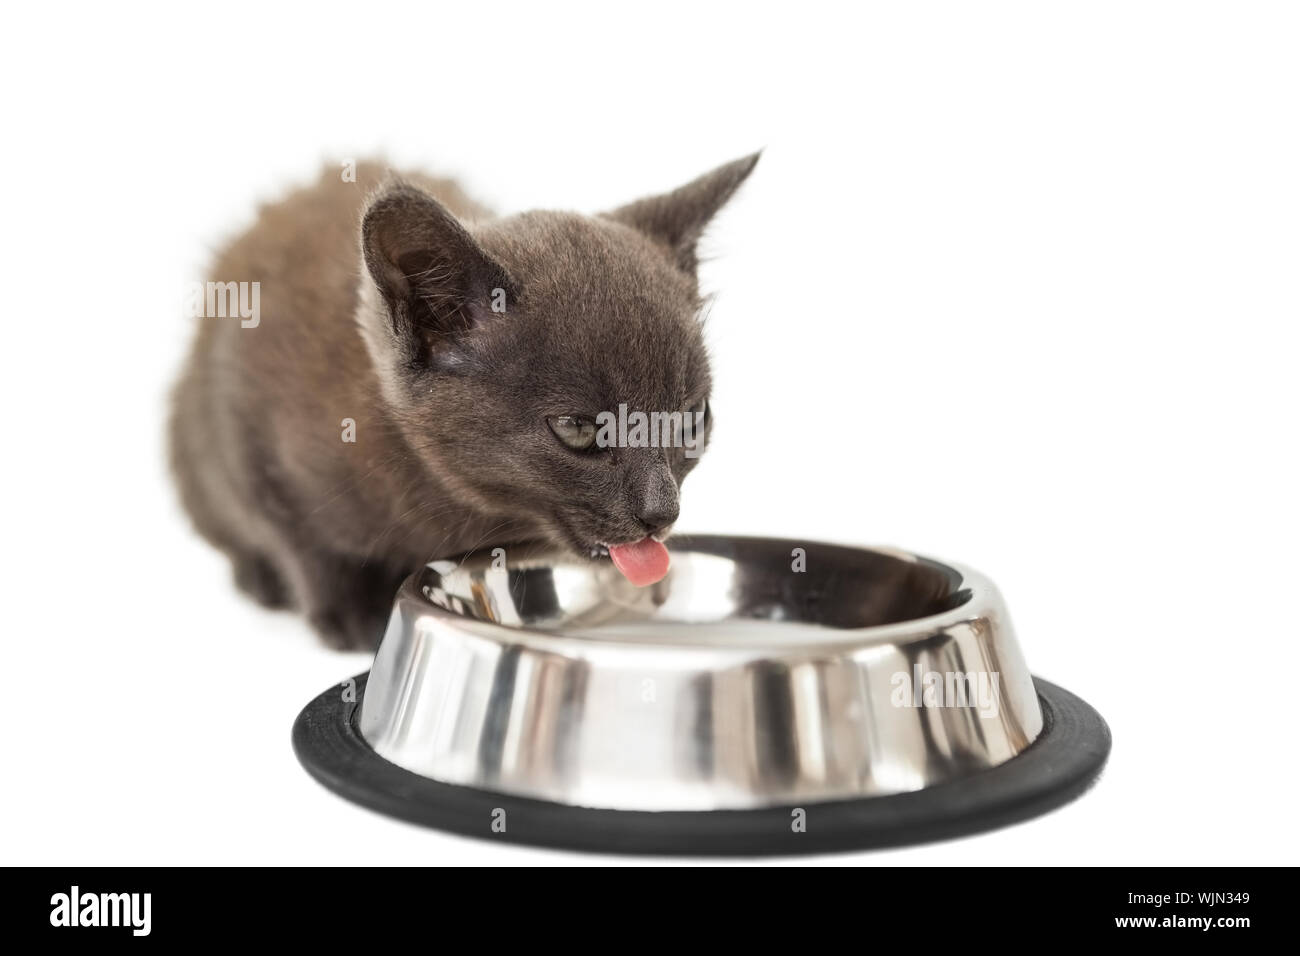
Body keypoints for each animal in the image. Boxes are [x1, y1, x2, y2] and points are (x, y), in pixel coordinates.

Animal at [172, 155, 759, 650]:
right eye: (578, 429)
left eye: (692, 421)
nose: (661, 512)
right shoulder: (250, 432)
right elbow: (303, 542)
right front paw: (352, 616)